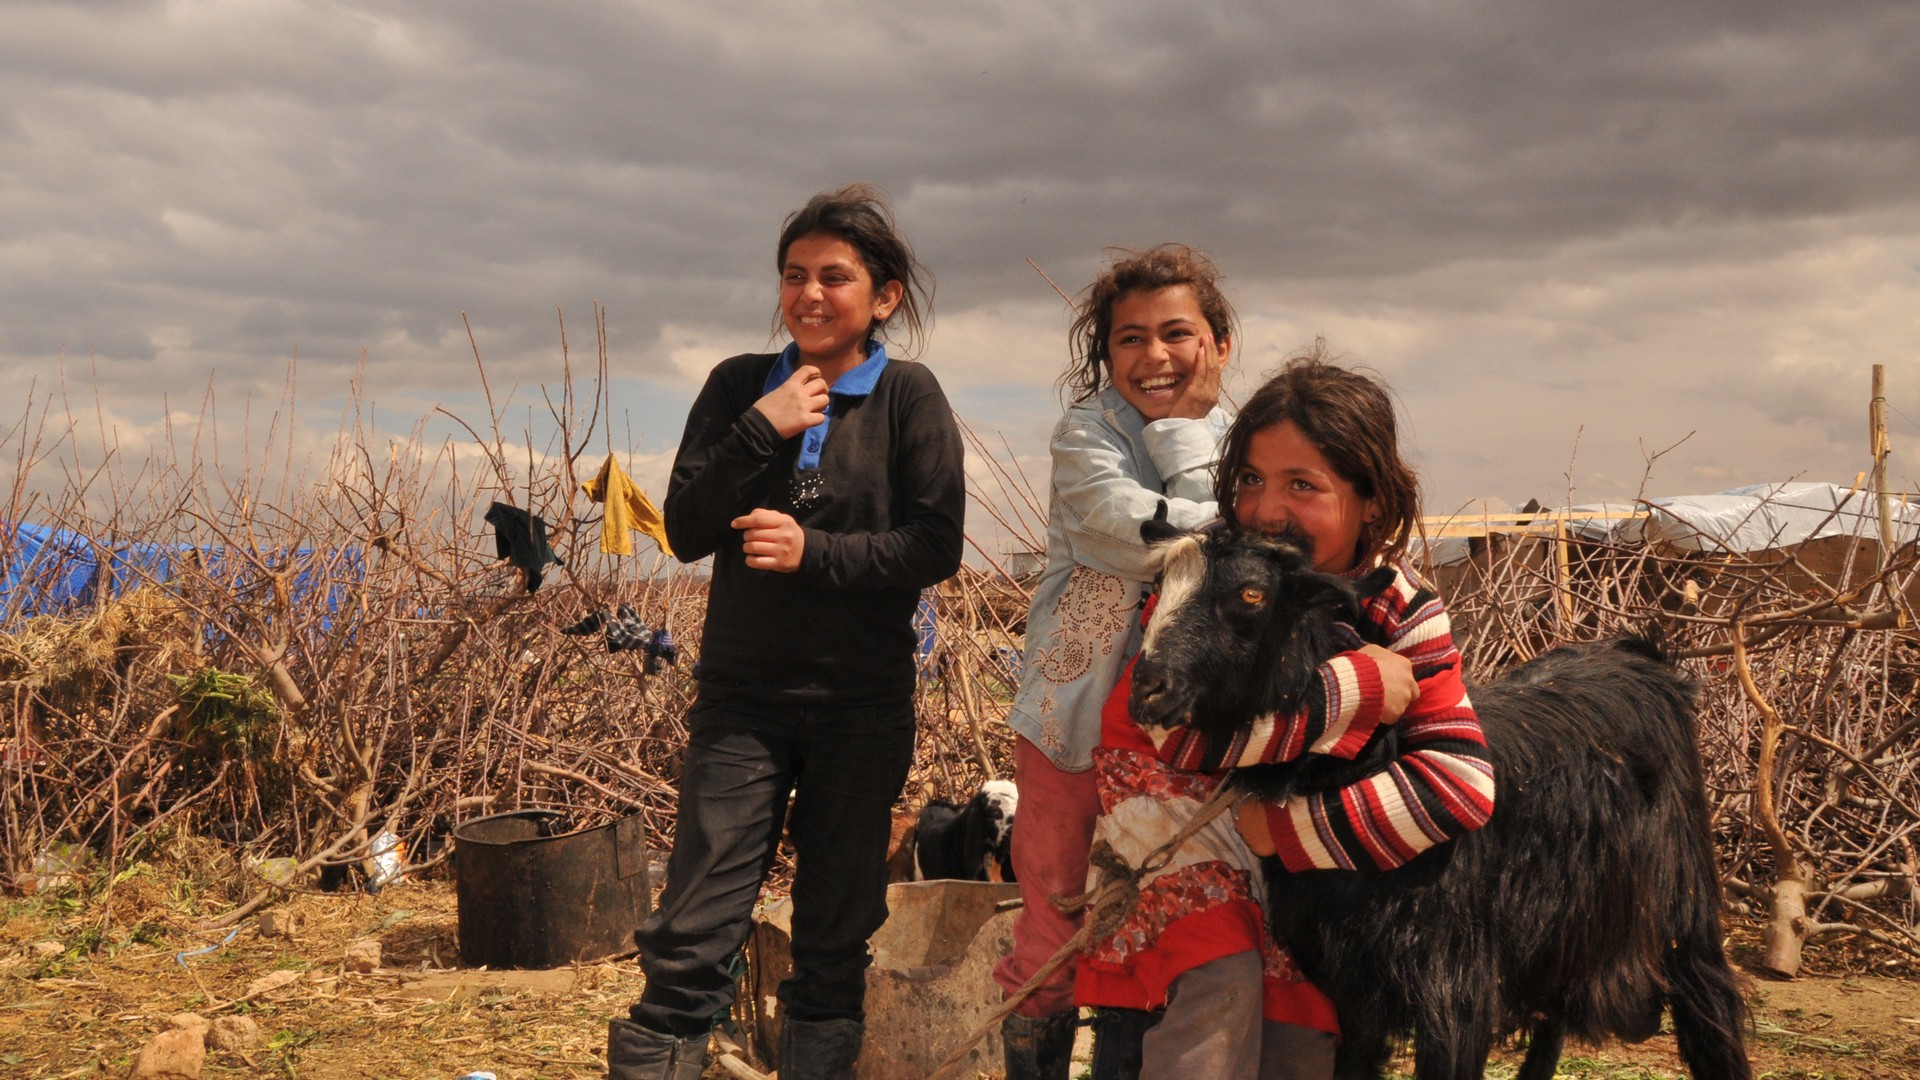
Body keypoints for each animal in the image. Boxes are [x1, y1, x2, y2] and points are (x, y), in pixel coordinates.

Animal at [1129, 529, 1751, 1080]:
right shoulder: (1353, 989)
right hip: (1571, 915)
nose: (1147, 688)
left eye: (1252, 594)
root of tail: (1643, 656)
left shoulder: (1455, 986)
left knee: (1711, 1007)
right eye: (1156, 587)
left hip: (1683, 895)